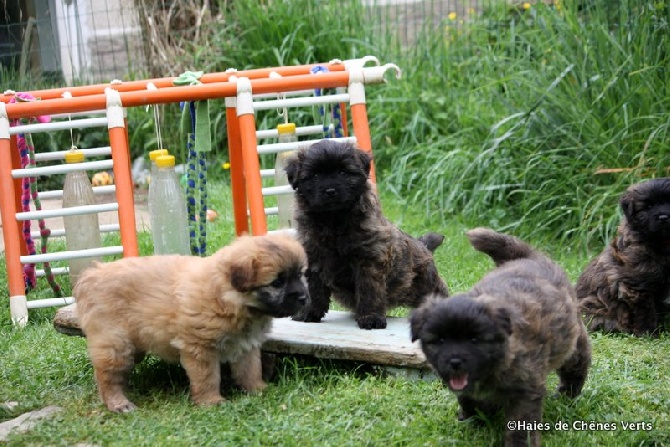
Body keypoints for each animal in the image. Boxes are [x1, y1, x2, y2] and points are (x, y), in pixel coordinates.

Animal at [75, 234, 310, 412]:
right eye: (277, 282)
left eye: (299, 274)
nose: (303, 298)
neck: (227, 299)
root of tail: (91, 275)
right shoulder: (200, 349)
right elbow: (208, 377)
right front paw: (211, 401)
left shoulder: (246, 346)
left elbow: (250, 369)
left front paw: (258, 389)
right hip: (116, 343)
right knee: (107, 376)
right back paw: (118, 402)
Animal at [284, 142, 448, 330]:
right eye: (315, 175)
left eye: (343, 172)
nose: (330, 191)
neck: (334, 220)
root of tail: (424, 246)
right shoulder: (314, 258)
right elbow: (313, 289)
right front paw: (309, 312)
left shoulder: (368, 261)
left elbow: (369, 290)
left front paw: (371, 317)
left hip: (427, 287)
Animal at [412, 229, 592, 447]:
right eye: (440, 341)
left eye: (475, 340)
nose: (455, 362)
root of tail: (530, 256)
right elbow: (469, 400)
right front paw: (474, 418)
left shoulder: (525, 391)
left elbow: (520, 427)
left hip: (571, 343)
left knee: (577, 366)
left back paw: (568, 394)